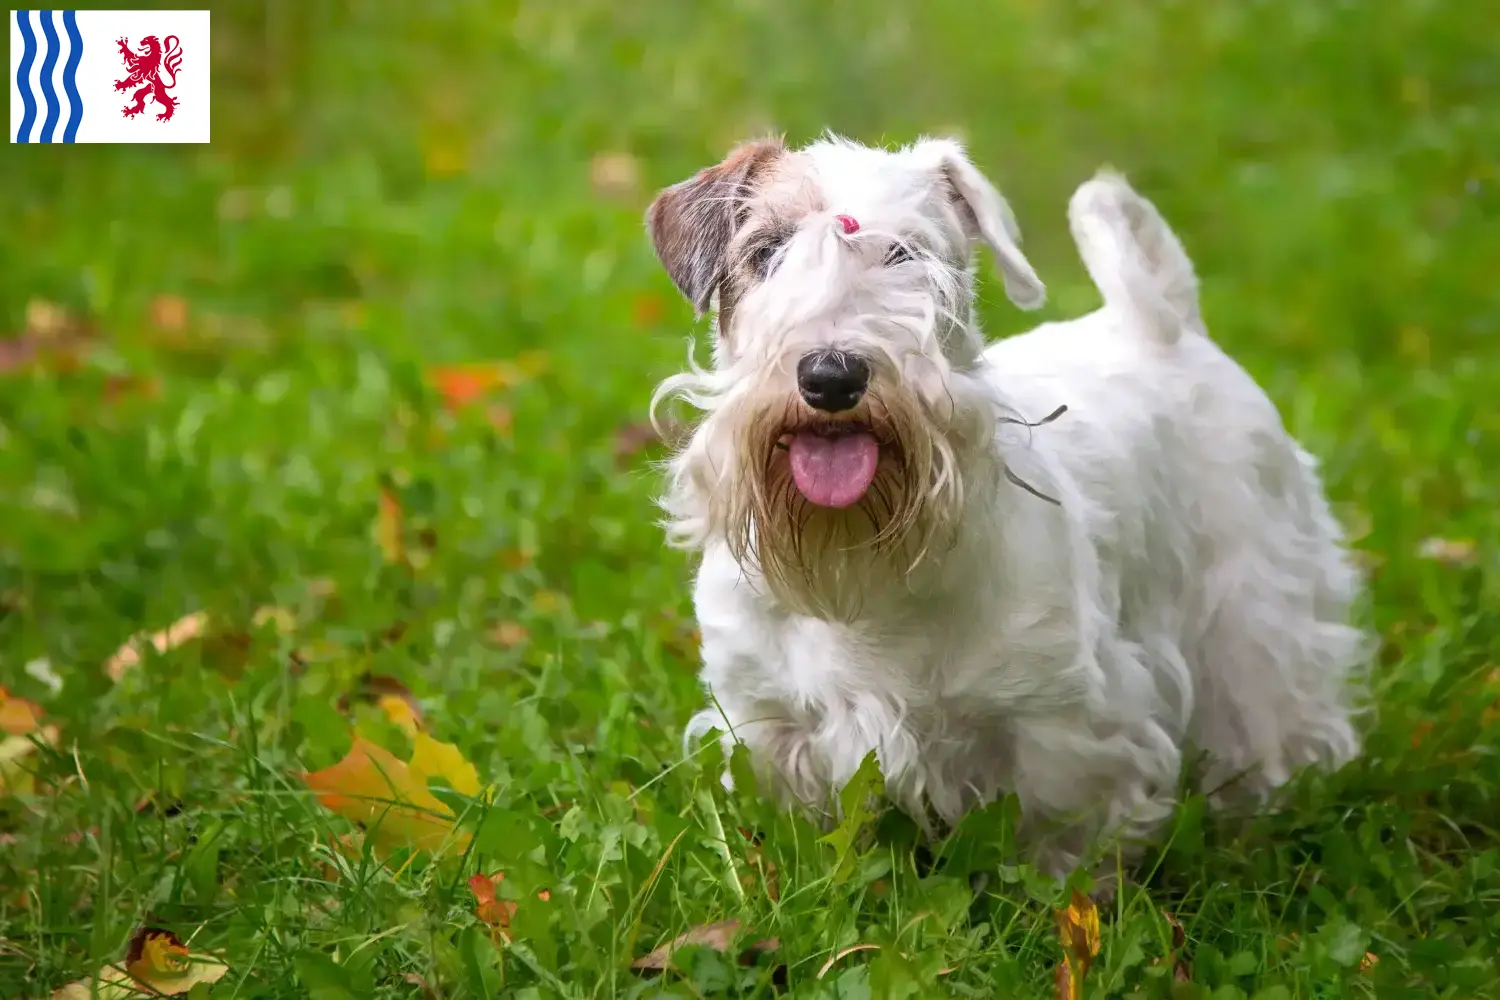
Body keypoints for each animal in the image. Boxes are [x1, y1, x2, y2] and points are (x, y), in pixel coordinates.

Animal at [639, 132, 1368, 875]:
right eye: (766, 251)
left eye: (906, 253)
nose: (832, 374)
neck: (866, 565)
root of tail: (1165, 326)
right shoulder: (769, 722)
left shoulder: (1063, 725)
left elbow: (1062, 845)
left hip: (1254, 618)